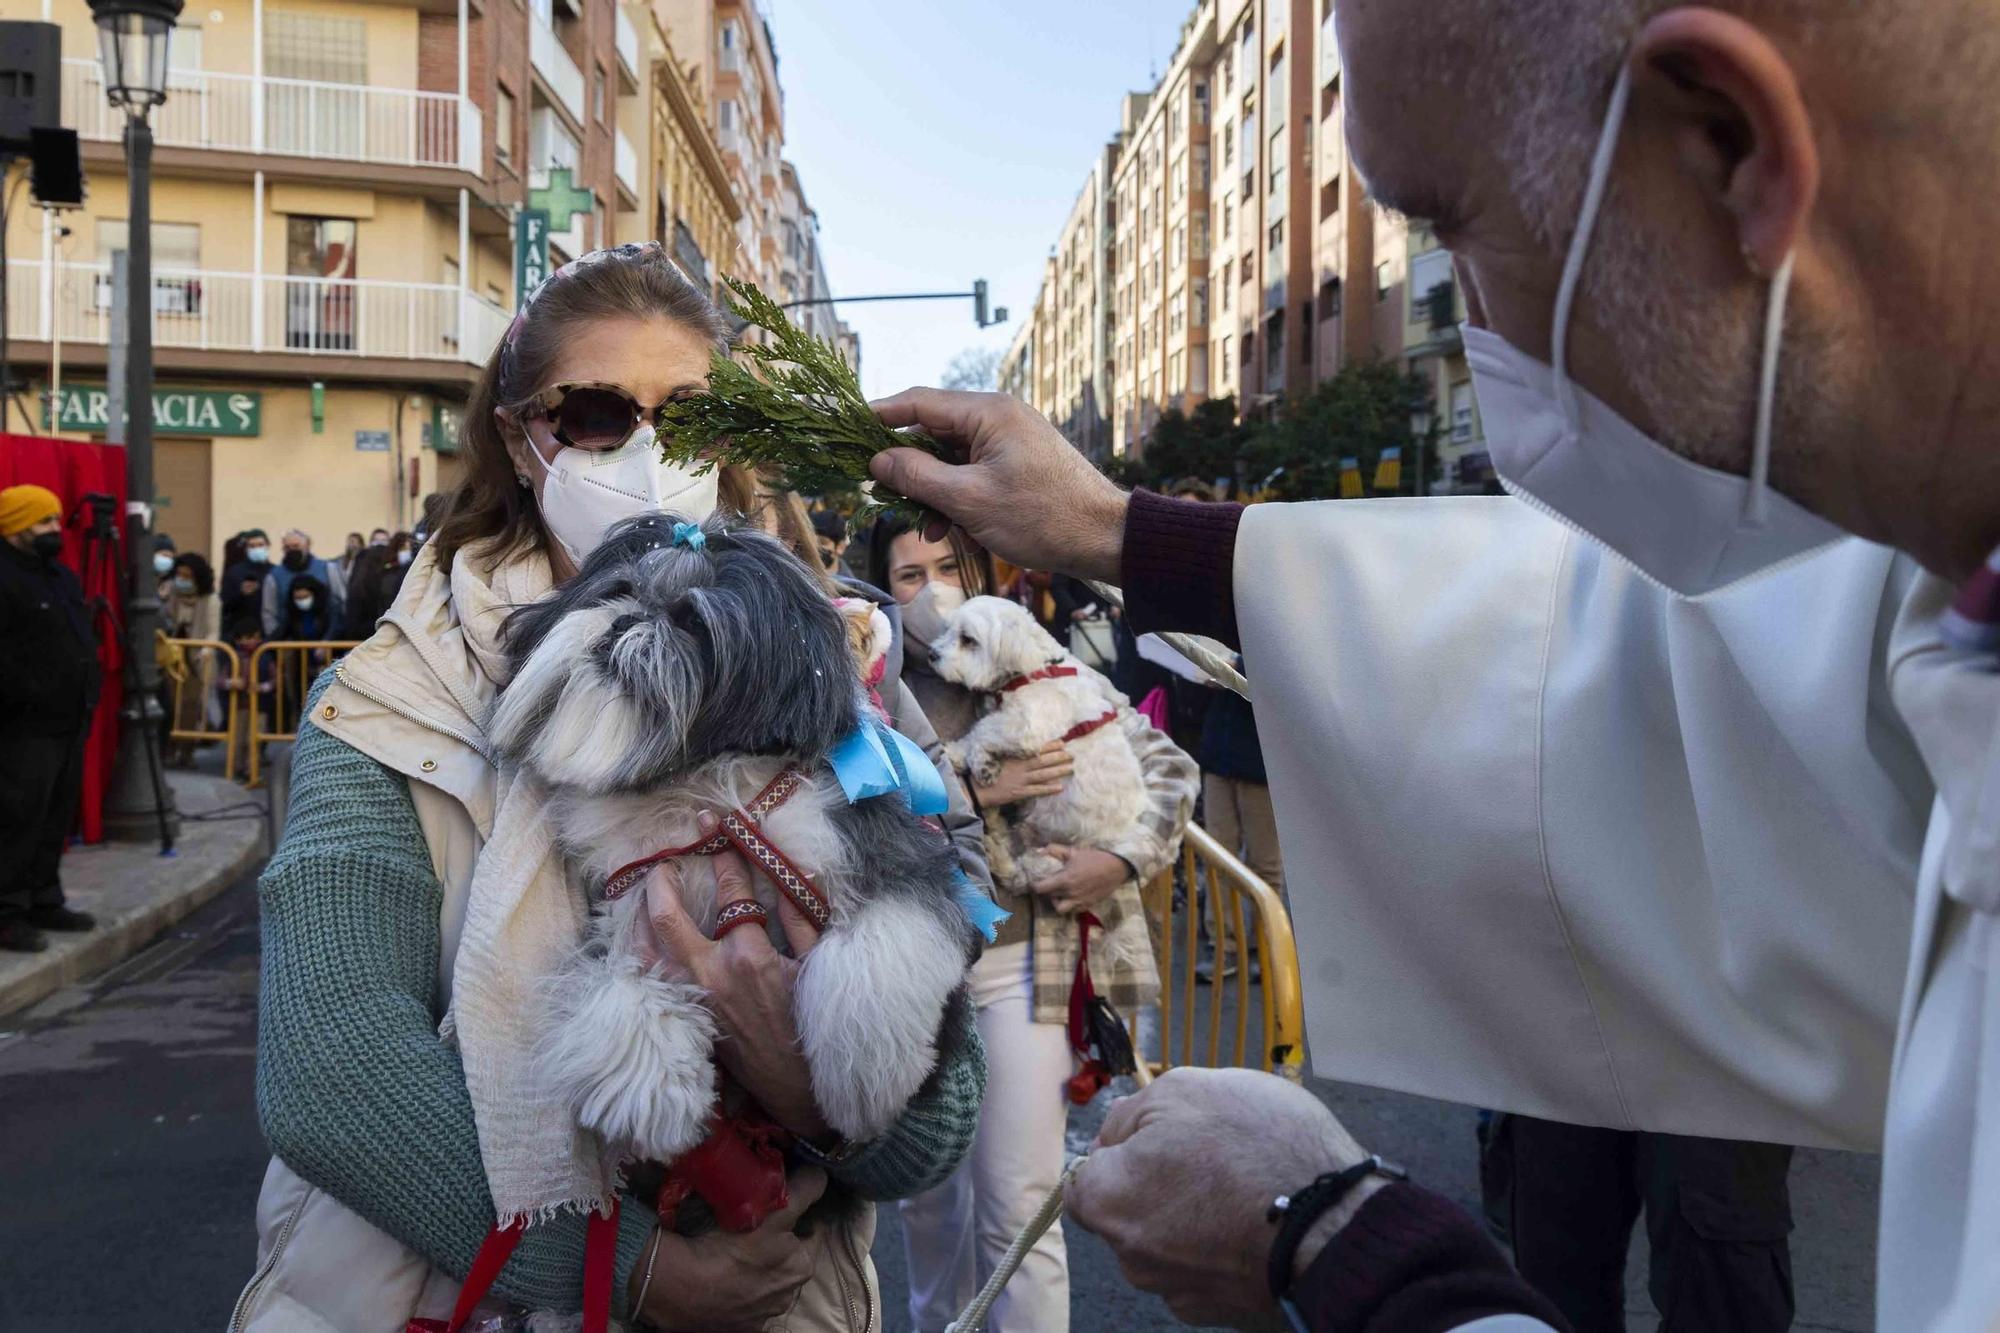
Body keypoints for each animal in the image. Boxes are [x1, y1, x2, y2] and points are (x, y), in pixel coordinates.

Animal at [920, 592, 1144, 888]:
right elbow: (979, 730)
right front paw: (957, 754)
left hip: (1054, 861)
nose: (932, 654)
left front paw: (980, 762)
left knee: (1021, 874)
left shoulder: (1029, 727)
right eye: (947, 629)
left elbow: (984, 729)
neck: (1035, 669)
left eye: (967, 639)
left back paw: (996, 853)